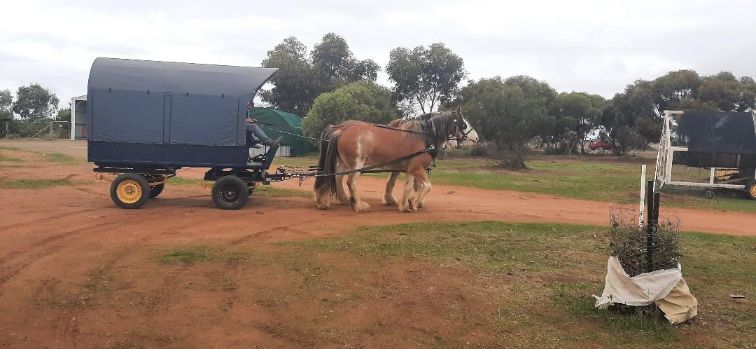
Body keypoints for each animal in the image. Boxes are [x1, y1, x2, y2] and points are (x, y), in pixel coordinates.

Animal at [314, 109, 472, 212]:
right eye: (464, 124)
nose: (474, 138)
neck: (422, 137)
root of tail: (342, 130)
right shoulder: (417, 168)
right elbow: (427, 186)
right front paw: (414, 202)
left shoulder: (411, 169)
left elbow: (409, 186)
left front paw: (406, 204)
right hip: (356, 163)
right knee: (350, 182)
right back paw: (359, 205)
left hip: (344, 163)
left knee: (333, 177)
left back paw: (326, 201)